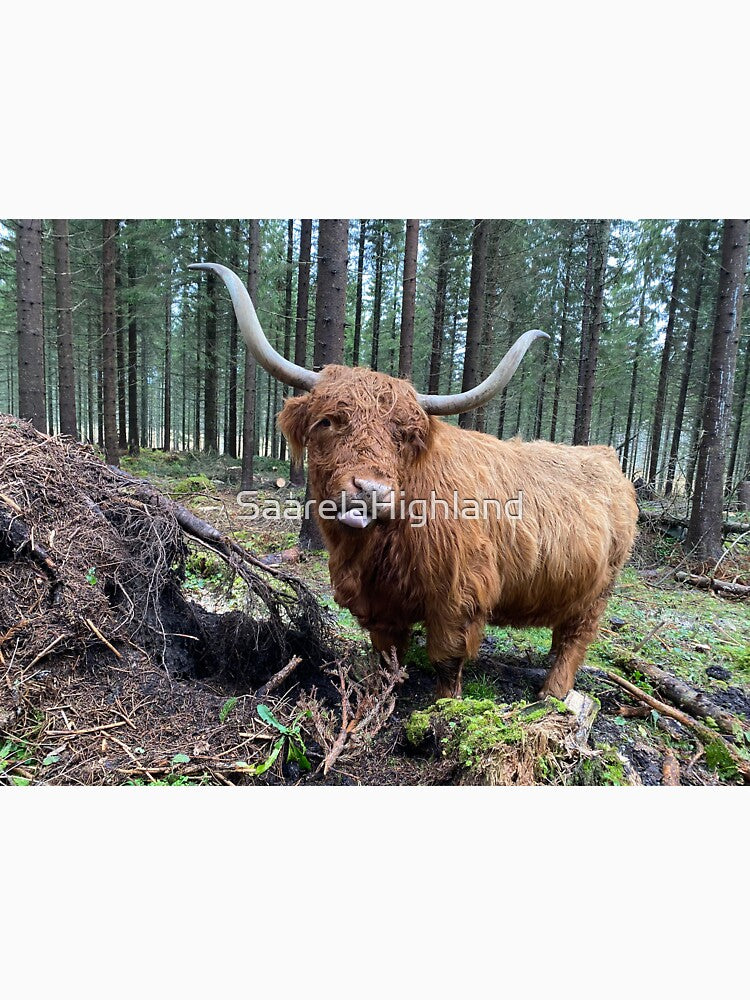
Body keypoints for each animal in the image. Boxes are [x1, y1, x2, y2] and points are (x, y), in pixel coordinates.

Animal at [191, 262, 638, 700]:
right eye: (328, 421)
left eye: (403, 435)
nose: (371, 491)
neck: (378, 547)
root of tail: (606, 457)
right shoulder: (379, 603)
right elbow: (387, 653)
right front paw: (379, 692)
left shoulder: (460, 596)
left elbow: (447, 659)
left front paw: (444, 707)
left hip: (597, 591)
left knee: (575, 639)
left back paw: (552, 694)